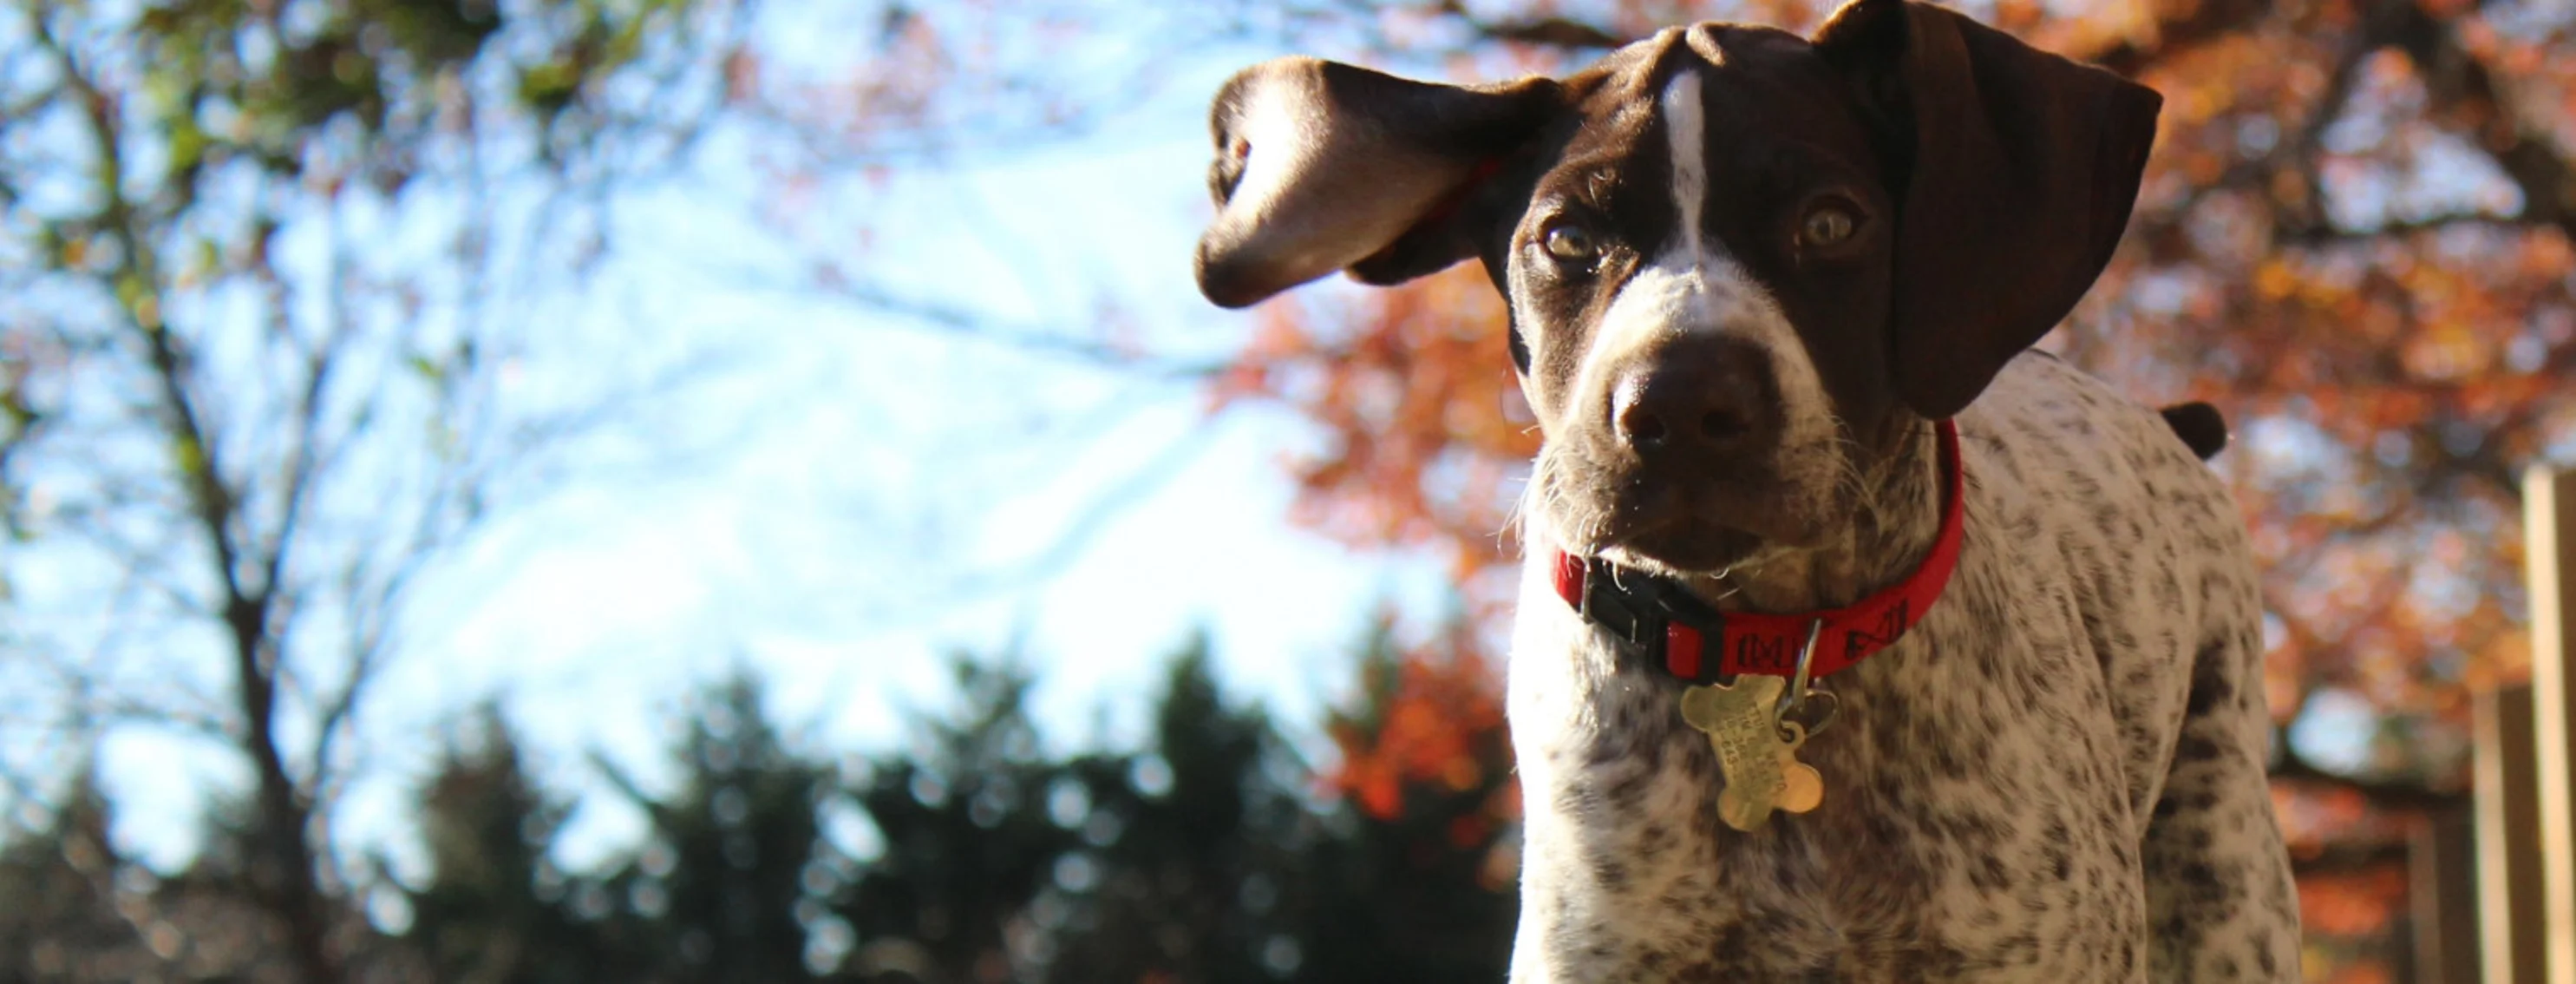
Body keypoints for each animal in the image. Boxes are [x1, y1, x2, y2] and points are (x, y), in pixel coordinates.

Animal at [1185, 0, 2298, 979]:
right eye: (1567, 240)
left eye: (1830, 223)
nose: (1677, 405)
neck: (1770, 643)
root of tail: (2169, 425)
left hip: (2226, 878)